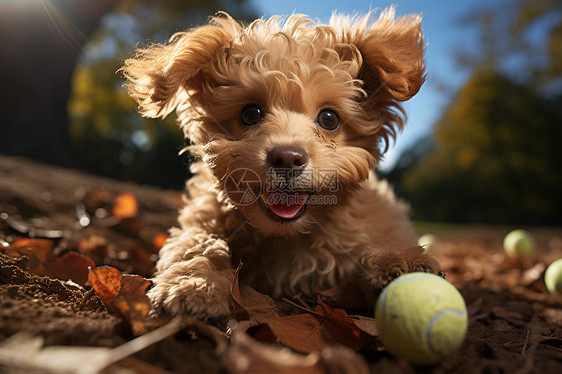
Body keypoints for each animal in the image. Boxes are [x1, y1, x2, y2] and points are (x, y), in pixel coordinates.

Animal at [122, 8, 442, 318]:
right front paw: (196, 283)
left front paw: (398, 261)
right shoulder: (202, 217)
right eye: (250, 113)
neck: (286, 235)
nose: (287, 157)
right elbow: (196, 242)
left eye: (329, 119)